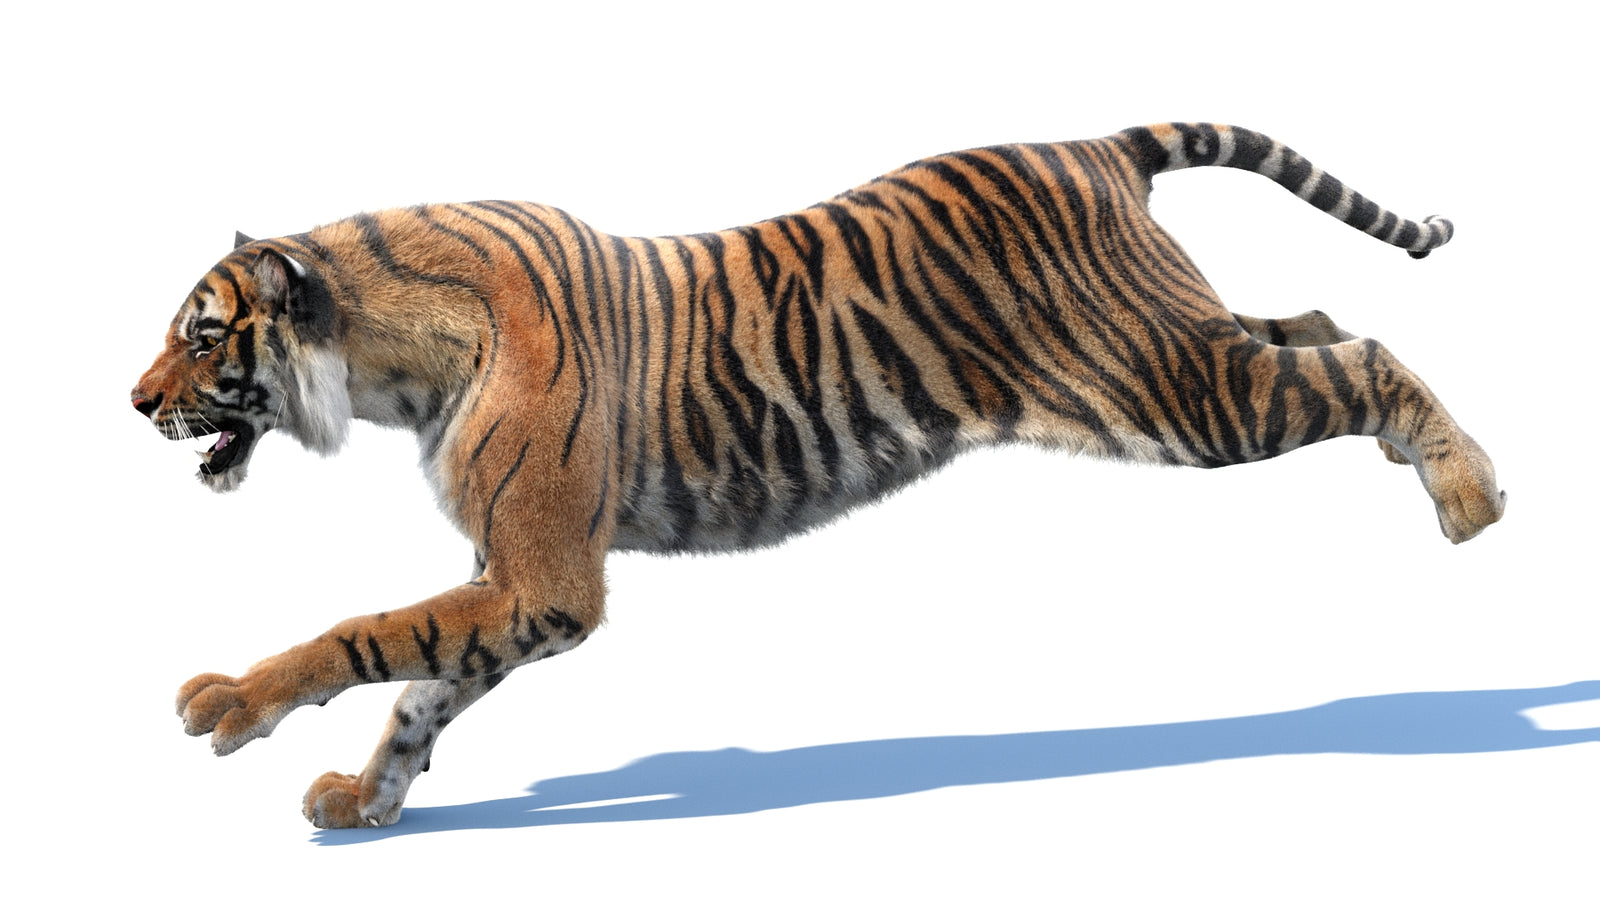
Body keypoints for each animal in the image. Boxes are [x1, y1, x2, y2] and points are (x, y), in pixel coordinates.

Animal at [131, 122, 1505, 828]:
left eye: (202, 336)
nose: (134, 403)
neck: (385, 363)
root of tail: (1093, 142)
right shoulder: (512, 580)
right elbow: (425, 686)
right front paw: (365, 798)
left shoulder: (543, 579)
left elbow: (365, 635)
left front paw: (230, 704)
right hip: (1186, 348)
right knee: (1321, 323)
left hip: (1172, 392)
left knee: (1361, 355)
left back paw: (1470, 496)